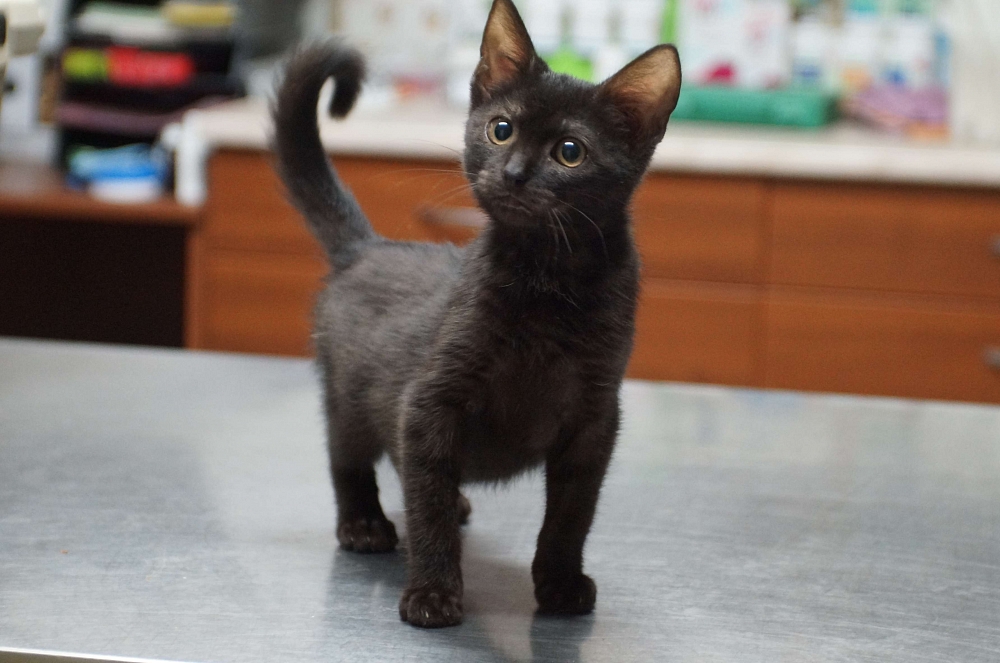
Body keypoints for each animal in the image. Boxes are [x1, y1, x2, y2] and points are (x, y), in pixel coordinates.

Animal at [272, 0, 681, 629]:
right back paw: (364, 523)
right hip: (345, 393)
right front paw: (434, 593)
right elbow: (429, 510)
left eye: (570, 152)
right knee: (350, 456)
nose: (513, 173)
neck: (545, 281)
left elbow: (572, 513)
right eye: (501, 129)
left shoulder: (595, 417)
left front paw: (560, 584)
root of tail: (368, 246)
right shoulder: (429, 400)